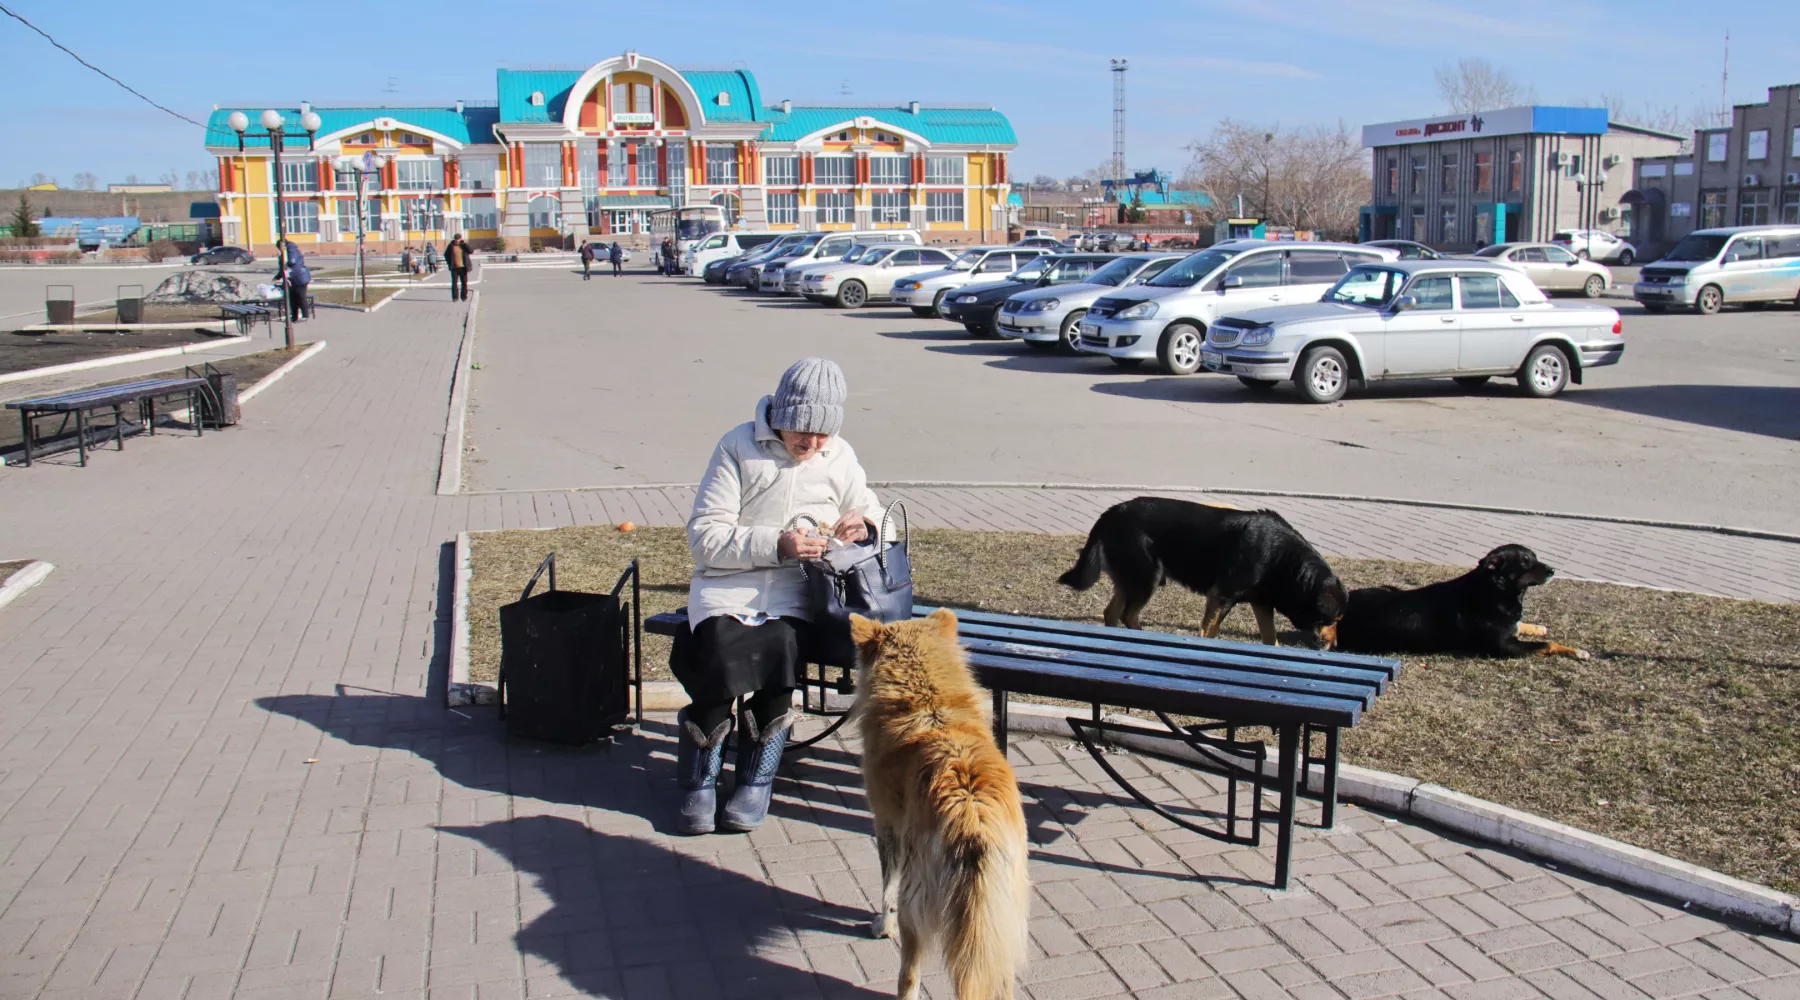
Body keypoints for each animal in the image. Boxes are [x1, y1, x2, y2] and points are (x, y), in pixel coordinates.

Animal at [853, 607, 1036, 1000]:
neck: (929, 703)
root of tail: (971, 816)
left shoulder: (886, 825)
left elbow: (886, 888)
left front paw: (882, 925)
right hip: (1004, 917)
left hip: (918, 902)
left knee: (909, 975)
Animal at [1051, 496, 1353, 643]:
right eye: (1334, 619)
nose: (1333, 645)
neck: (1283, 559)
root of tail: (1112, 511)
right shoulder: (1221, 596)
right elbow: (1211, 631)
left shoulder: (1261, 603)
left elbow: (1272, 639)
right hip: (1148, 576)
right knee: (1127, 614)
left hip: (1132, 578)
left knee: (1112, 612)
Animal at [1324, 543, 1591, 661]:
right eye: (1525, 562)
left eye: (1535, 557)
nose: (1553, 570)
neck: (1493, 591)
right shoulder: (1504, 647)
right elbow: (1546, 644)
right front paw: (1577, 651)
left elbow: (1524, 626)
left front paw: (1536, 626)